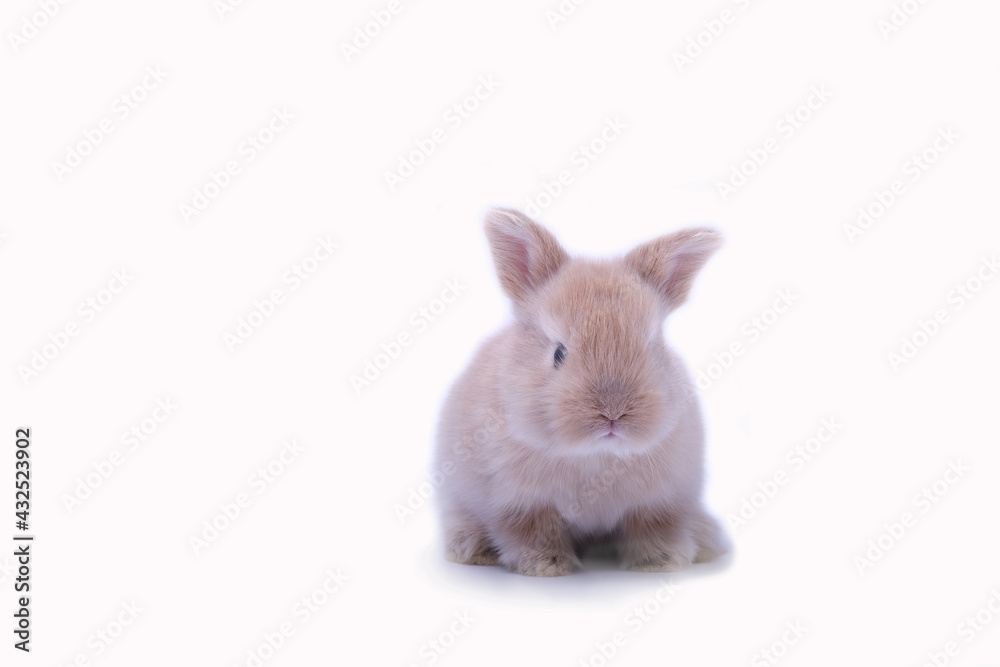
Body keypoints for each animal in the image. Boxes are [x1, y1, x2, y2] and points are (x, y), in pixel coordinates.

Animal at [432, 207, 729, 576]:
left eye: (650, 347)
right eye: (559, 353)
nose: (612, 414)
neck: (595, 455)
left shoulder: (659, 502)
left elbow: (654, 528)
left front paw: (661, 562)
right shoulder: (519, 503)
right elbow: (532, 531)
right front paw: (547, 565)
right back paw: (472, 549)